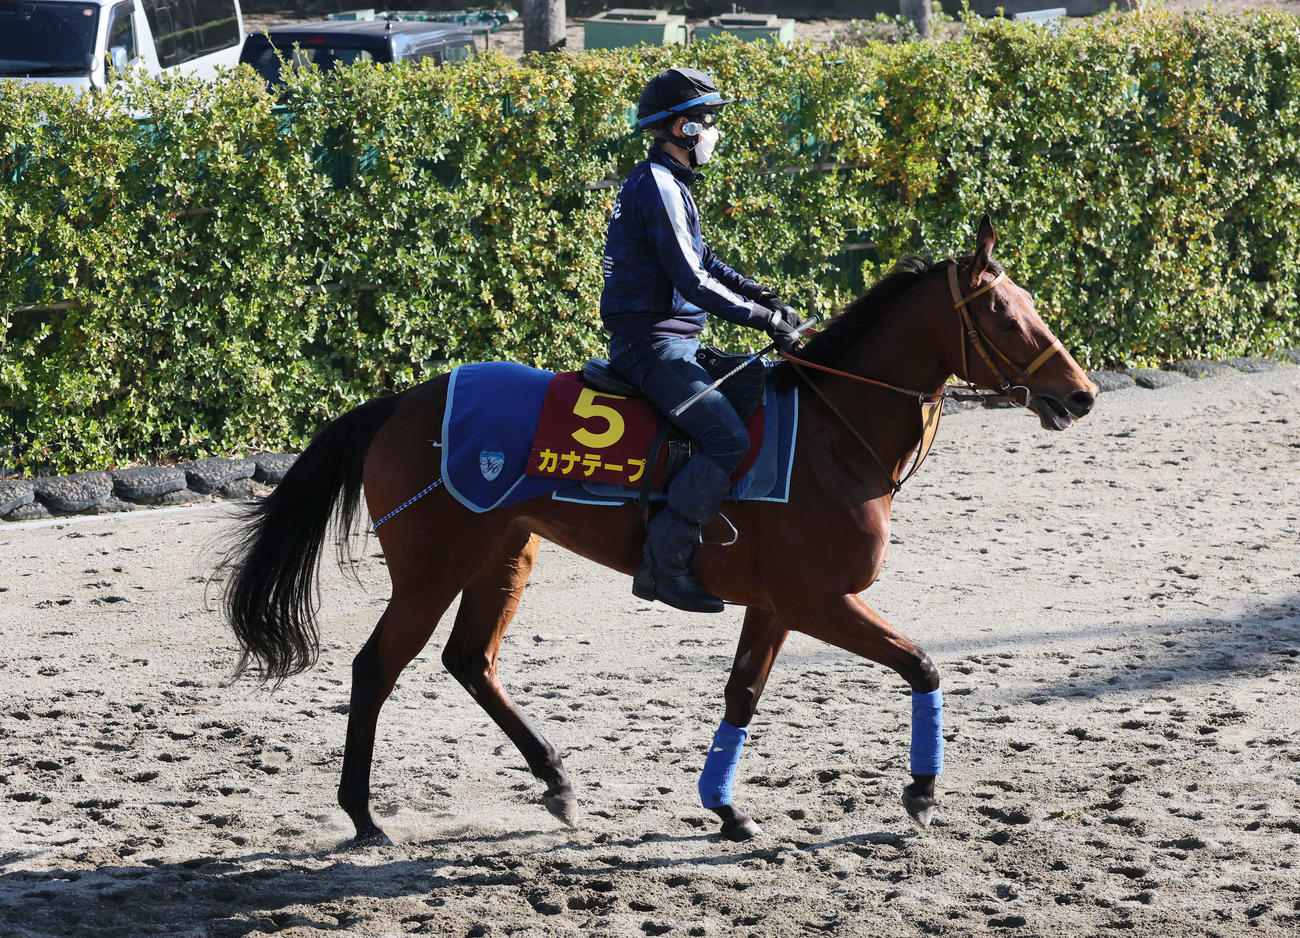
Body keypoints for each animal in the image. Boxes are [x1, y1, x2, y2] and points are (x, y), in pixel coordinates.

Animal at [218, 217, 1098, 845]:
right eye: (1003, 316)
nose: (1081, 394)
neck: (831, 434)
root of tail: (401, 402)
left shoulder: (774, 606)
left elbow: (743, 694)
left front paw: (726, 808)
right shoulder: (820, 601)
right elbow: (920, 664)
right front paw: (920, 790)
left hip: (504, 556)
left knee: (471, 662)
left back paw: (556, 781)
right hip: (433, 569)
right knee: (376, 667)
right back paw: (364, 815)